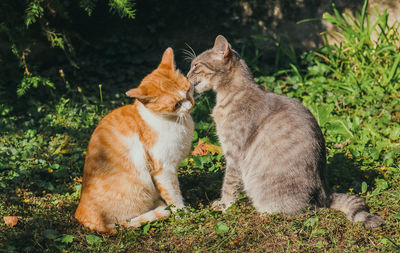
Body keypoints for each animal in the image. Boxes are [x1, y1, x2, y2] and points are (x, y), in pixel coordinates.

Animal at [75, 47, 195, 233]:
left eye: (189, 90)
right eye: (176, 104)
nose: (191, 104)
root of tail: (81, 214)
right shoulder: (163, 169)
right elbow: (173, 194)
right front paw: (183, 213)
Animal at [188, 35, 384, 227]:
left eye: (195, 65)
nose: (186, 76)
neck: (231, 94)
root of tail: (327, 195)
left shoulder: (234, 154)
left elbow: (229, 185)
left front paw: (225, 206)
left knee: (306, 212)